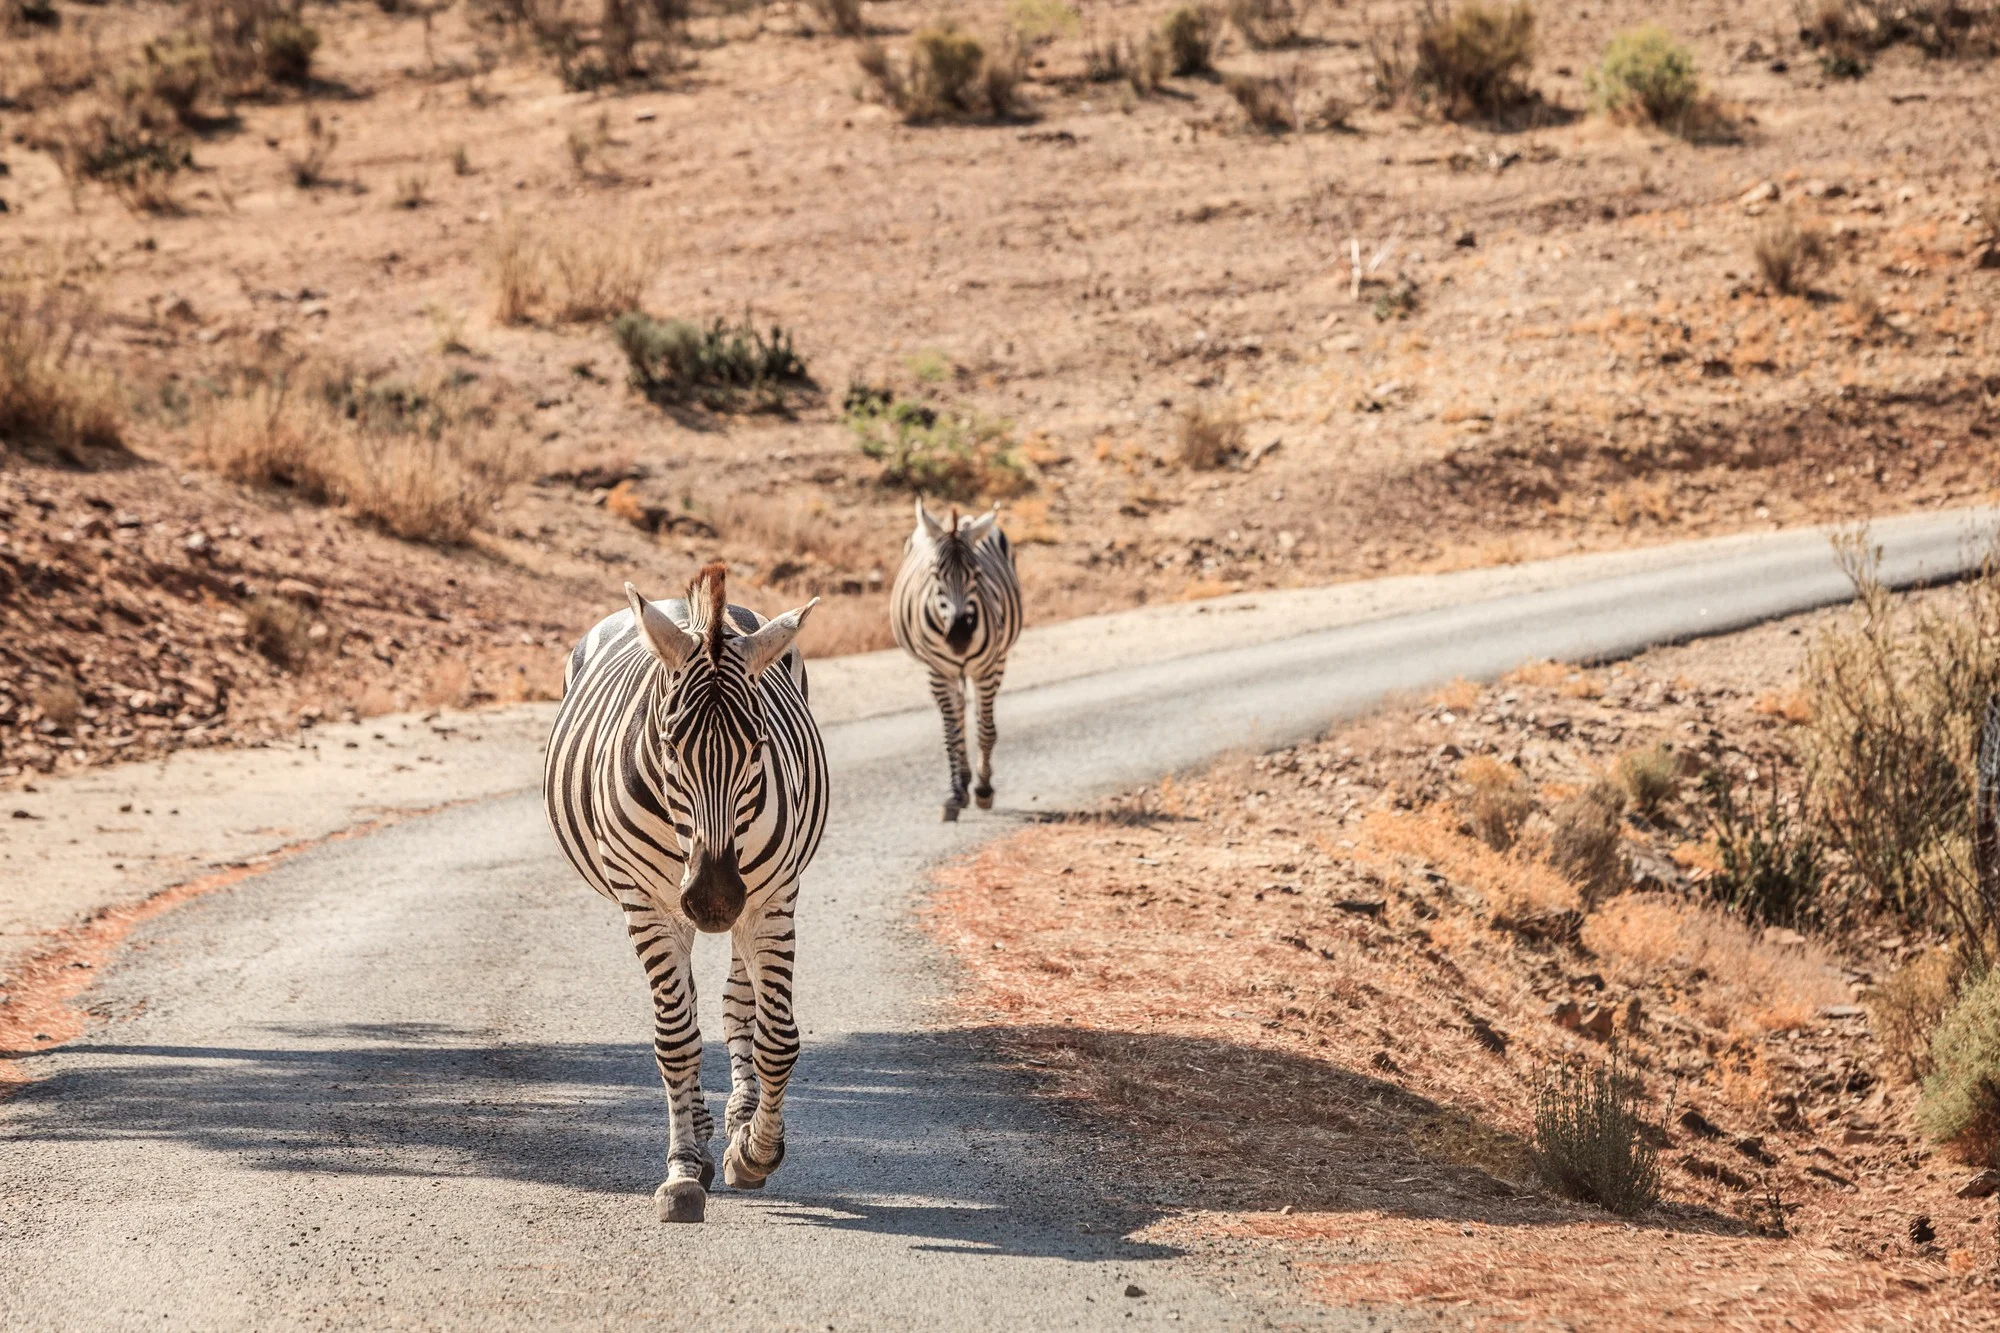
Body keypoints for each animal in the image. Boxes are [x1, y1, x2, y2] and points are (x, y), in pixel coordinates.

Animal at [540, 560, 828, 1224]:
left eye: (758, 746)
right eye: (670, 745)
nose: (715, 898)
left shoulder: (770, 898)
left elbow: (778, 1038)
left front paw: (755, 1150)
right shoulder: (646, 902)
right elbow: (675, 1041)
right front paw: (681, 1174)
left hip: (760, 895)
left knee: (735, 1000)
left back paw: (737, 1123)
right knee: (688, 1011)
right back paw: (696, 1140)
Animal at [892, 498, 1024, 816]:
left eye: (977, 574)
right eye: (934, 573)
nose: (960, 637)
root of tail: (961, 520)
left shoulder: (986, 669)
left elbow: (986, 730)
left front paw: (984, 790)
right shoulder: (938, 672)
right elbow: (951, 734)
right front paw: (955, 793)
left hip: (997, 662)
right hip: (948, 674)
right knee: (959, 716)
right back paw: (962, 779)